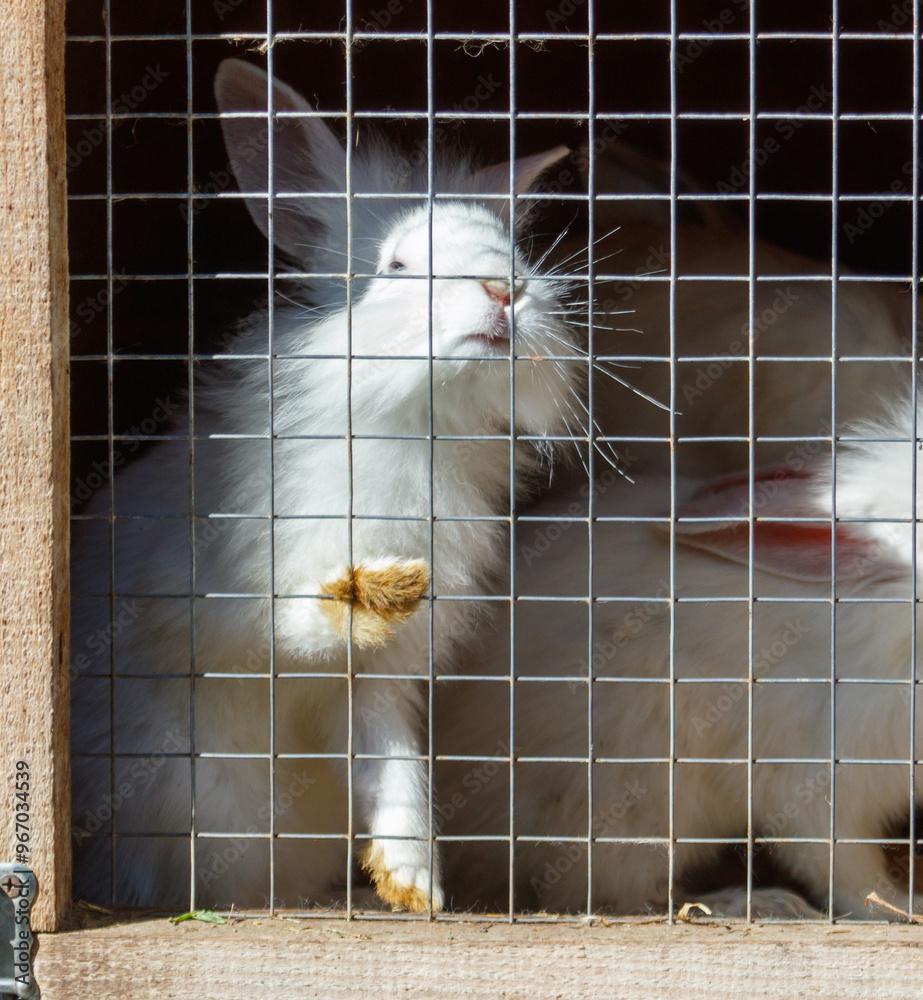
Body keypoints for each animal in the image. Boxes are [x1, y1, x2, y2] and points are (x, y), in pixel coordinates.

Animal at [69, 58, 589, 913]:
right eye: (398, 266)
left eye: (512, 251)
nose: (504, 291)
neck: (413, 419)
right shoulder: (224, 592)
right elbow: (287, 628)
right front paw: (368, 591)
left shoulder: (377, 684)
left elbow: (391, 764)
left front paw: (413, 884)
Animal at [434, 388, 923, 920]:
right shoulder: (817, 777)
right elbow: (841, 867)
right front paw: (900, 906)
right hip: (633, 806)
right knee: (614, 894)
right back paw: (752, 902)